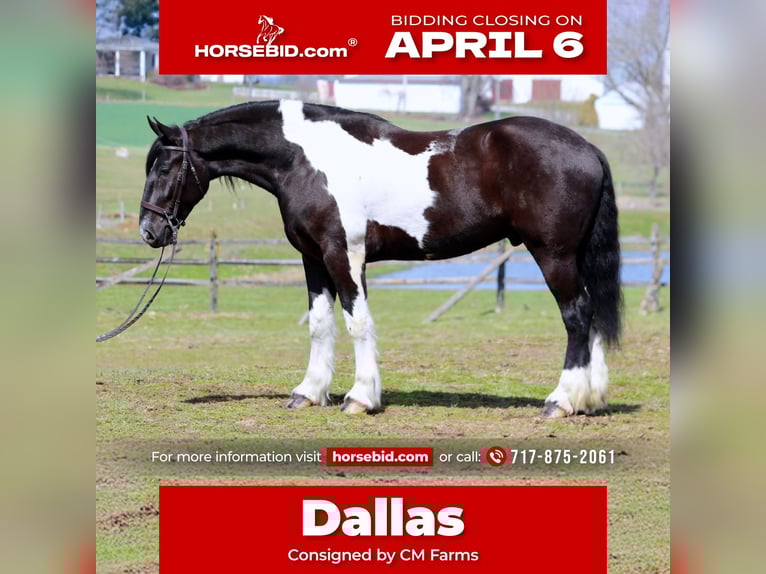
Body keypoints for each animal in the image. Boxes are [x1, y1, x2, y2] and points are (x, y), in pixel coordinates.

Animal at [140, 100, 622, 417]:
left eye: (164, 168)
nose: (149, 231)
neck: (305, 158)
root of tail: (588, 149)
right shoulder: (313, 258)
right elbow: (320, 324)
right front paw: (309, 392)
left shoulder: (344, 255)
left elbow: (357, 322)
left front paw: (360, 397)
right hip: (575, 256)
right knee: (593, 313)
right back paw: (591, 398)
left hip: (554, 254)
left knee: (577, 315)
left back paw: (561, 400)